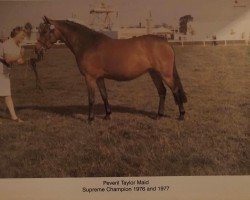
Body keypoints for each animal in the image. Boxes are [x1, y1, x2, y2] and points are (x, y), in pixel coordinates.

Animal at [35, 16, 188, 122]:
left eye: (45, 31)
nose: (37, 49)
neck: (88, 44)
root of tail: (165, 42)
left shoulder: (90, 78)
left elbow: (91, 98)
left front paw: (90, 119)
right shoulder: (99, 78)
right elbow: (104, 95)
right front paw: (107, 115)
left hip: (165, 74)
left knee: (174, 90)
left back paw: (181, 115)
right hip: (154, 73)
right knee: (162, 92)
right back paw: (159, 115)